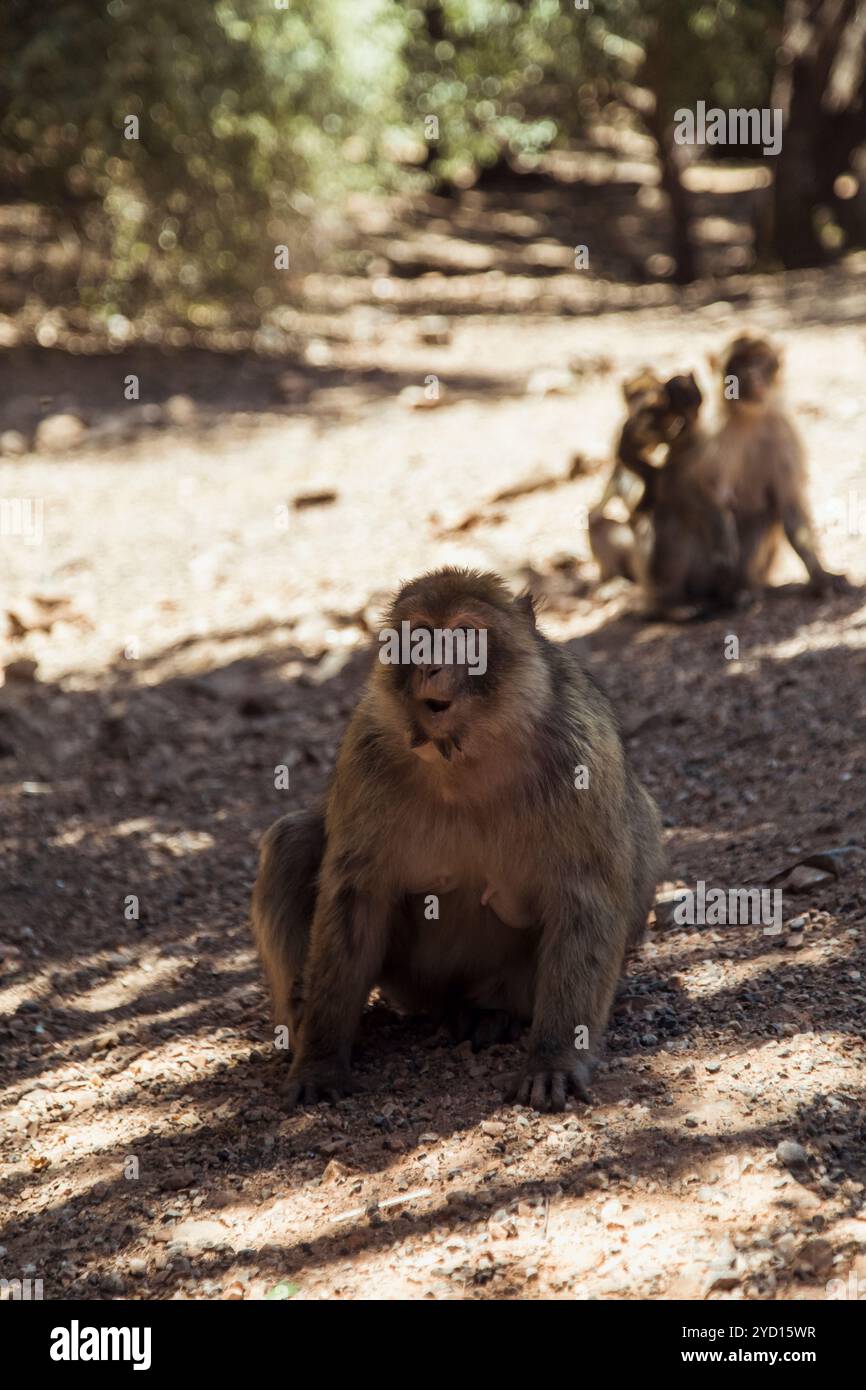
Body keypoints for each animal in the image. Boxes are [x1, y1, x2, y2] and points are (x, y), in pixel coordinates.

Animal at [250, 569, 664, 1112]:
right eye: (420, 635)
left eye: (464, 634)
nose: (432, 667)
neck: (465, 758)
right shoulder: (366, 746)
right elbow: (355, 899)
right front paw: (319, 1059)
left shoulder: (580, 750)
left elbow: (584, 898)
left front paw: (552, 1059)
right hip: (411, 983)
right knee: (292, 842)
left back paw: (491, 1016)